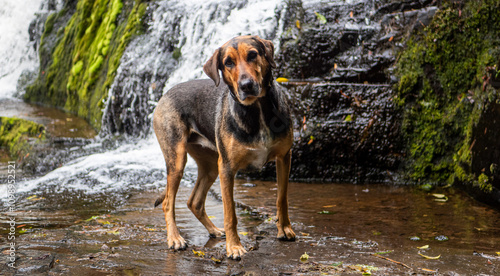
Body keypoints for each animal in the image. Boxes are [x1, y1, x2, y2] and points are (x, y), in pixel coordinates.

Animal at [151, 35, 292, 260]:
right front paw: (234, 247)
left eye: (253, 54)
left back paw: (214, 230)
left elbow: (282, 198)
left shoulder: (284, 157)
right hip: (177, 160)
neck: (256, 109)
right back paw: (174, 238)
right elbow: (230, 212)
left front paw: (285, 229)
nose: (246, 85)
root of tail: (165, 93)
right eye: (228, 63)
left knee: (194, 202)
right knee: (167, 202)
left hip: (210, 166)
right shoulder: (227, 169)